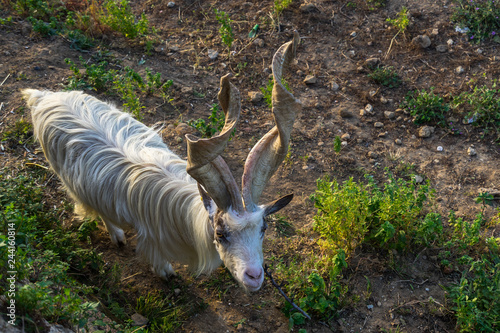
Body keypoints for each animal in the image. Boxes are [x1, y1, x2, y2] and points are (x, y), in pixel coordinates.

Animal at [23, 31, 300, 290]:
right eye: (221, 233)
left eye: (263, 229)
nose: (254, 277)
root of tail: (42, 97)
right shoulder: (152, 238)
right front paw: (167, 273)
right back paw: (117, 235)